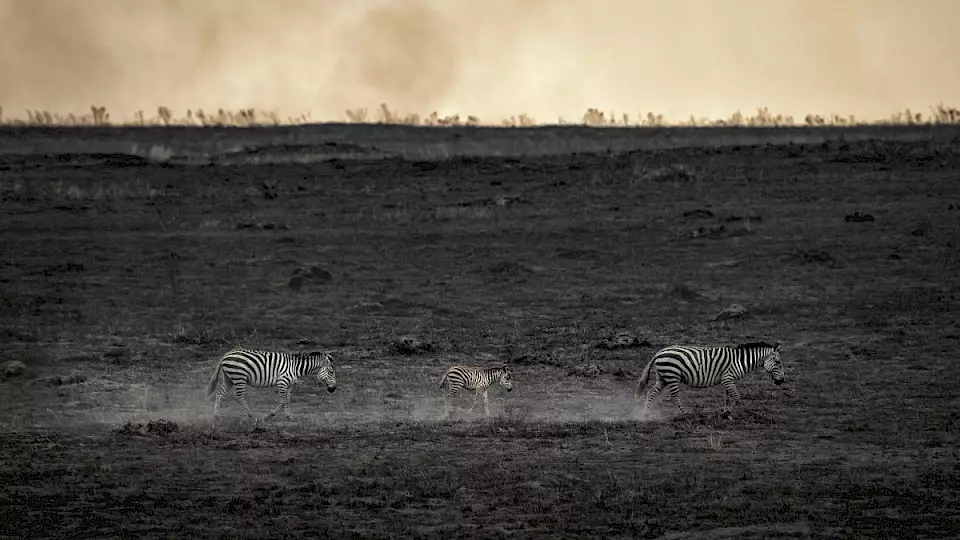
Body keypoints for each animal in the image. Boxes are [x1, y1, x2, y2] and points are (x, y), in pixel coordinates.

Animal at [206, 348, 337, 422]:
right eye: (331, 372)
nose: (334, 389)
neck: (295, 368)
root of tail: (226, 355)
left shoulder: (289, 385)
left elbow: (288, 401)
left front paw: (289, 416)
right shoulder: (282, 382)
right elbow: (283, 401)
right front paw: (269, 415)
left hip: (229, 378)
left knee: (220, 393)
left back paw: (216, 416)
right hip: (239, 377)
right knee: (238, 396)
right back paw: (251, 415)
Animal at [635, 342, 784, 419]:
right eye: (778, 362)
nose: (781, 381)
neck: (740, 361)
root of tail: (658, 352)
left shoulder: (727, 380)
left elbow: (727, 397)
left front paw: (725, 413)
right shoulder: (728, 378)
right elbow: (736, 396)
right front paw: (727, 413)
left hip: (663, 377)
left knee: (651, 392)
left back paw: (645, 413)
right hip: (672, 375)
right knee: (674, 395)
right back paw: (683, 414)